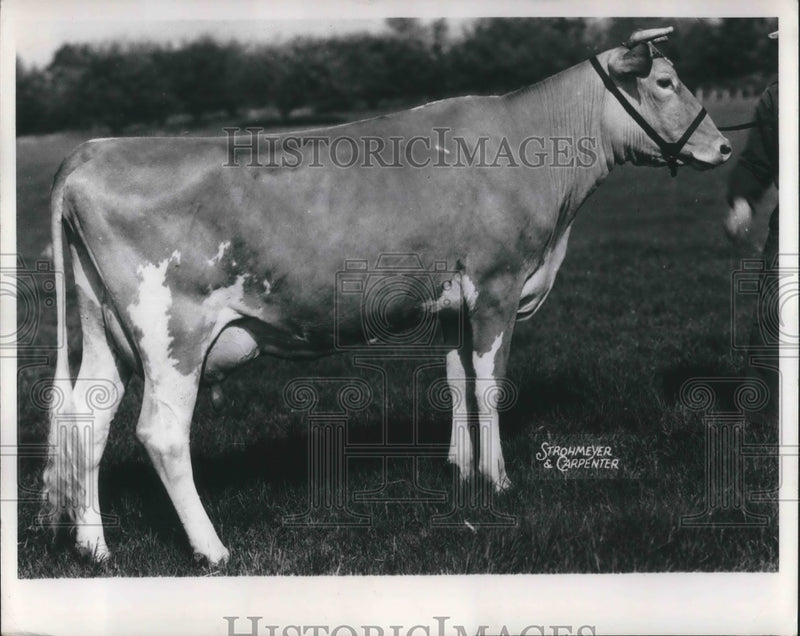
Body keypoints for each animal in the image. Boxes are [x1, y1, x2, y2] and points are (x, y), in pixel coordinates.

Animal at [42, 27, 730, 565]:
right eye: (665, 81)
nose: (722, 145)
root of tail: (90, 152)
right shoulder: (498, 286)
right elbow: (490, 384)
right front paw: (499, 481)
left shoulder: (454, 302)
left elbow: (456, 379)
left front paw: (460, 469)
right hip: (171, 334)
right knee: (160, 433)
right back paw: (212, 549)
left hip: (105, 329)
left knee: (86, 421)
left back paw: (94, 546)